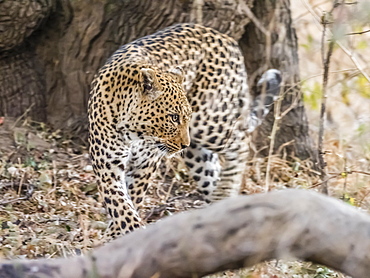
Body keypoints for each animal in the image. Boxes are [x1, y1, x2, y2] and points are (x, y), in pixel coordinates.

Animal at [89, 22, 280, 239]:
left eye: (184, 116)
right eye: (174, 117)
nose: (183, 144)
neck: (134, 132)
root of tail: (227, 39)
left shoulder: (146, 164)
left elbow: (132, 197)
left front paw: (121, 234)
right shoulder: (107, 163)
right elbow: (119, 203)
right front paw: (119, 230)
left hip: (208, 121)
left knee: (241, 141)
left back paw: (225, 190)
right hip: (196, 149)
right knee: (211, 168)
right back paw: (219, 204)